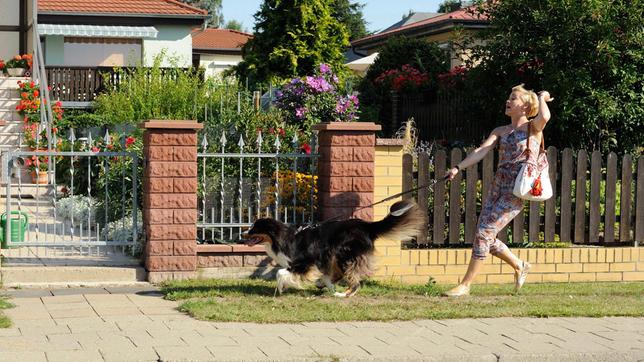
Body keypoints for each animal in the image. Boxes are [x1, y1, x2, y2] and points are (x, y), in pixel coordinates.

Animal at [244, 201, 426, 296]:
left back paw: (343, 294)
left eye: (254, 228)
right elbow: (322, 276)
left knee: (354, 281)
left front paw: (282, 288)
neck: (283, 238)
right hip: (336, 255)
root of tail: (367, 226)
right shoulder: (317, 261)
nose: (243, 232)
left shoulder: (305, 262)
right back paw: (326, 286)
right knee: (340, 275)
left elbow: (280, 273)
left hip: (344, 254)